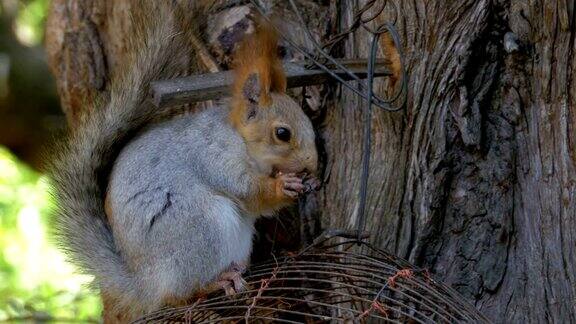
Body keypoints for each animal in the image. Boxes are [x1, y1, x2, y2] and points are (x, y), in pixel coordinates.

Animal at [49, 1, 320, 322]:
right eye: (282, 133)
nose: (312, 165)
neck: (241, 141)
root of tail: (146, 282)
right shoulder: (214, 155)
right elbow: (249, 193)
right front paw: (284, 186)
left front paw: (310, 180)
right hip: (200, 225)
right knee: (180, 294)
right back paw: (217, 281)